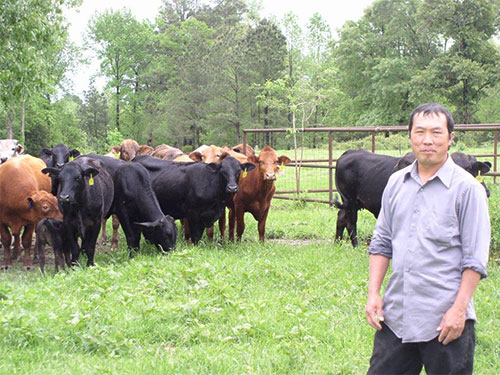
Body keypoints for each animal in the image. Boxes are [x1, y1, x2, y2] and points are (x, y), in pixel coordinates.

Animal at [334, 150, 490, 247]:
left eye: (469, 169)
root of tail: (349, 152)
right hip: (350, 201)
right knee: (351, 222)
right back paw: (355, 246)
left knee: (341, 217)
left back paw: (337, 242)